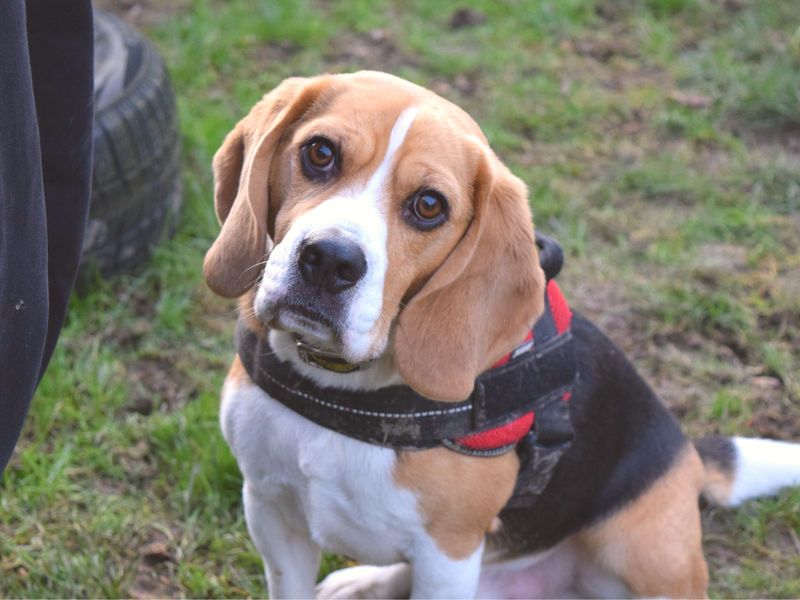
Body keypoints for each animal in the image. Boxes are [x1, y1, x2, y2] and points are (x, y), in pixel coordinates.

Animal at [206, 72, 800, 596]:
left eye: (429, 206)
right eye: (320, 153)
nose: (330, 260)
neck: (340, 390)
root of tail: (690, 460)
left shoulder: (448, 553)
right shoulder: (270, 511)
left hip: (645, 553)